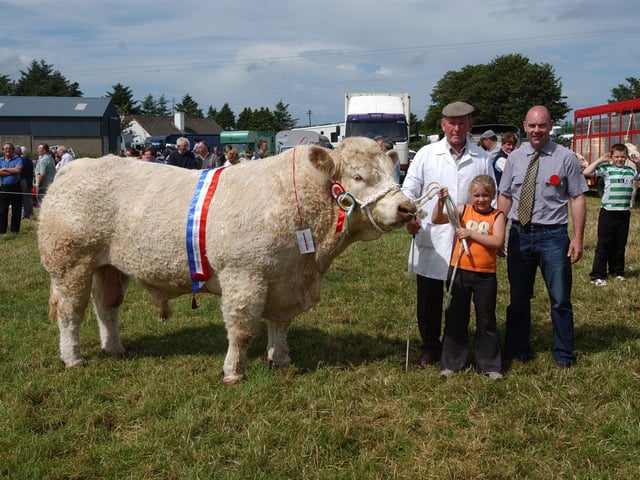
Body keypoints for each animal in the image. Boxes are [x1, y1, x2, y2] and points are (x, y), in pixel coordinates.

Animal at [38, 137, 416, 385]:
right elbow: (243, 331)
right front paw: (234, 372)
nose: (407, 208)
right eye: (359, 177)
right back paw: (73, 358)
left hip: (108, 266)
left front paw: (281, 359)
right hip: (71, 262)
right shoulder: (244, 275)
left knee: (107, 306)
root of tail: (75, 167)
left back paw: (114, 348)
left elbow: (280, 324)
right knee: (71, 312)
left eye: (394, 174)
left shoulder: (285, 280)